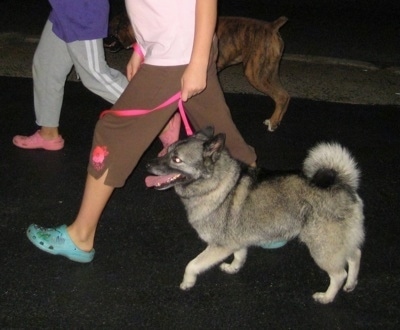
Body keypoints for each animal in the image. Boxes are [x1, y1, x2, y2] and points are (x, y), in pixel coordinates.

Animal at [145, 127, 364, 302]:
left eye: (176, 159)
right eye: (167, 151)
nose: (147, 165)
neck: (215, 184)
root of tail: (342, 183)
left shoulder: (219, 246)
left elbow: (192, 265)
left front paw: (187, 282)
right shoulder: (236, 240)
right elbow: (240, 255)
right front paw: (234, 267)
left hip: (322, 248)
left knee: (339, 274)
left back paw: (327, 297)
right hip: (339, 242)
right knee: (355, 255)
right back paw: (351, 283)